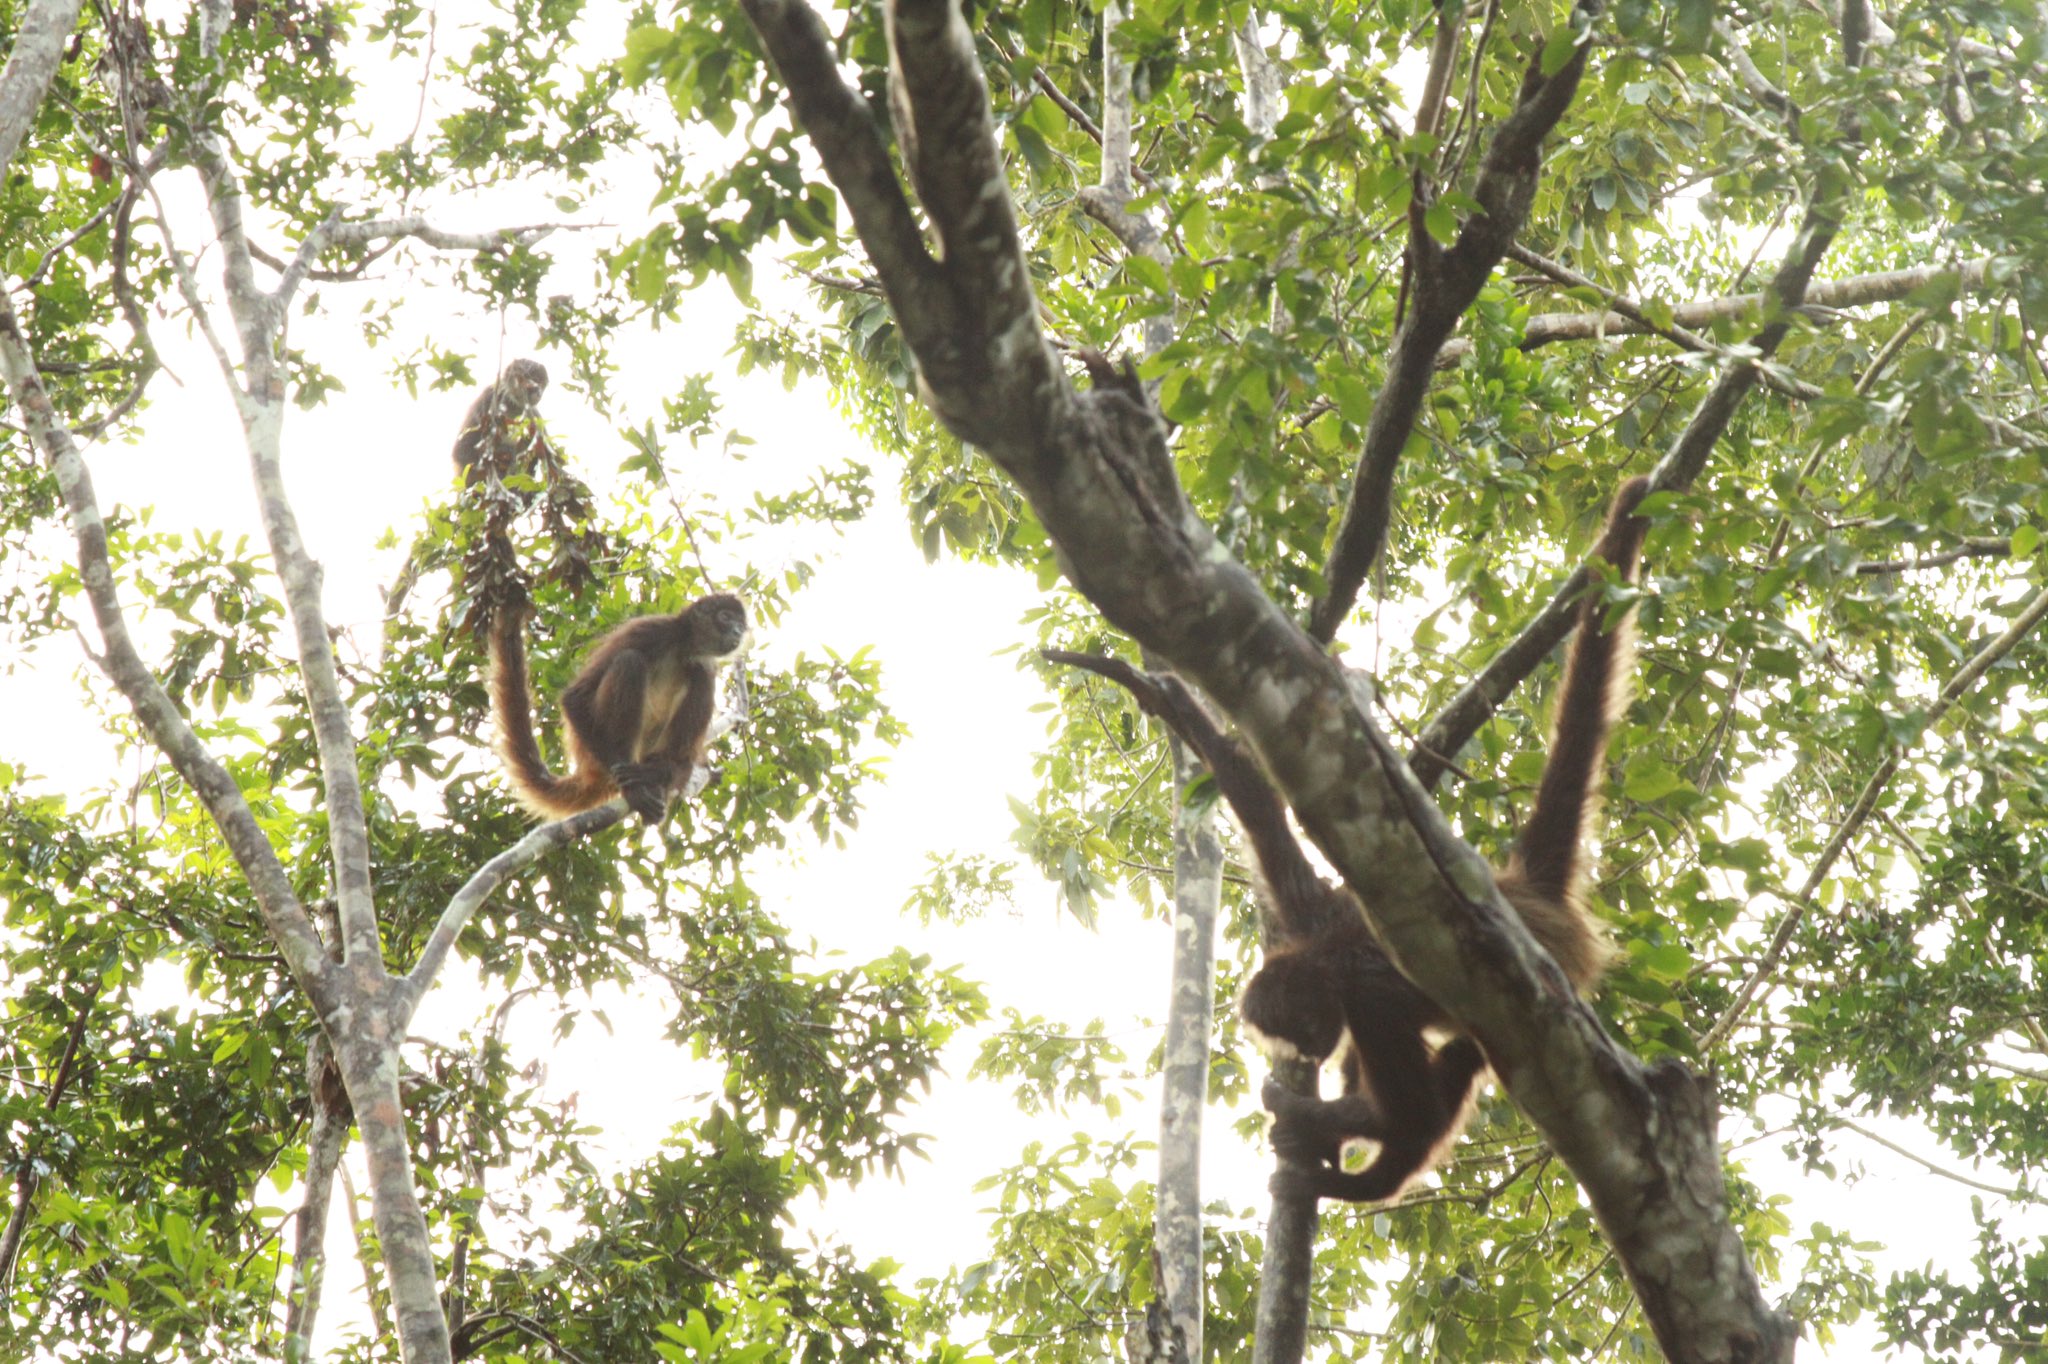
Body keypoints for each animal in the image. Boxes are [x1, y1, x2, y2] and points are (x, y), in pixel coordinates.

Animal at [489, 593, 753, 819]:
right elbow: (575, 698)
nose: (738, 631)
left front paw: (665, 773)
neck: (683, 649)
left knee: (699, 682)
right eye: (726, 617)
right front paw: (633, 790)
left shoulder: (704, 663)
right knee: (629, 661)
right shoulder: (651, 630)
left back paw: (656, 772)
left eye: (740, 623)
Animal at [1048, 475, 1654, 1204]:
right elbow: (1261, 810)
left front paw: (1310, 1115)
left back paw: (1362, 1172)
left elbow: (1413, 1109)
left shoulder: (1368, 1000)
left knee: (1453, 1070)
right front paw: (1163, 694)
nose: (1311, 1054)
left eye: (1304, 1028)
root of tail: (1524, 892)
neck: (1329, 955)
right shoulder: (1310, 908)